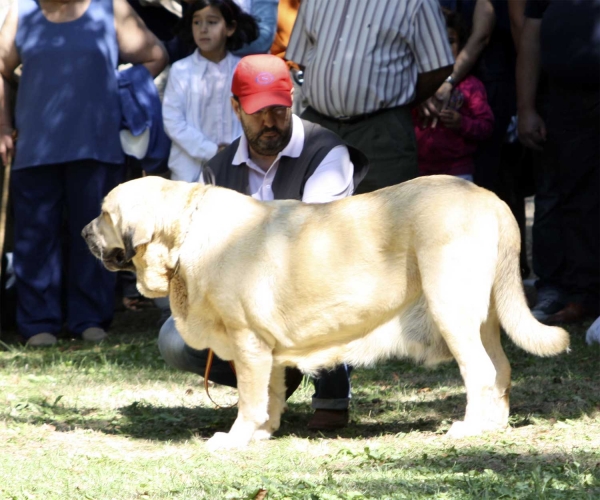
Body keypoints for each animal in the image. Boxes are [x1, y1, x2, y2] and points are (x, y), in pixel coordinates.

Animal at [83, 175, 568, 450]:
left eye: (104, 213)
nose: (85, 232)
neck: (184, 234)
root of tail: (490, 198)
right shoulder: (265, 351)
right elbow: (270, 395)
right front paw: (263, 433)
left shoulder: (247, 342)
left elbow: (248, 399)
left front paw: (236, 438)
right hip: (483, 318)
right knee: (502, 368)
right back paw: (495, 426)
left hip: (451, 310)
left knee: (480, 372)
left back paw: (470, 428)